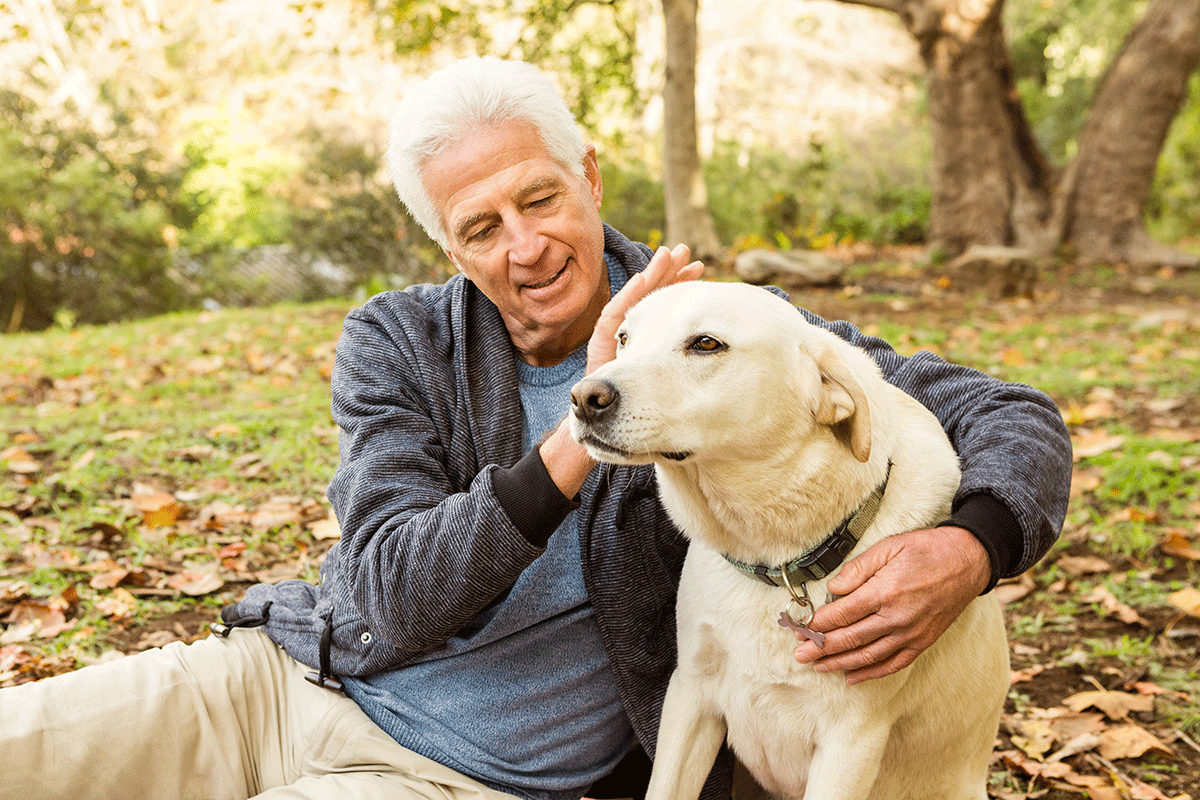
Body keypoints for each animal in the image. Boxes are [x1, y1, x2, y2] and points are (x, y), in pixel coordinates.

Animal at [566, 281, 1008, 800]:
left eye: (706, 343)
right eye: (623, 338)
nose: (584, 397)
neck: (775, 560)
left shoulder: (850, 742)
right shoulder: (689, 696)